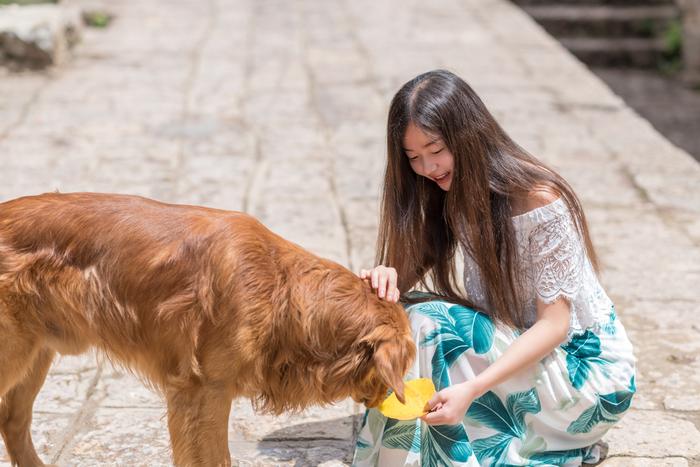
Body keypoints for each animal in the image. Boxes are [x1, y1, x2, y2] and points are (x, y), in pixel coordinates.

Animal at [0, 192, 416, 466]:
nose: (388, 402)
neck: (280, 288)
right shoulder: (203, 393)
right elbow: (214, 458)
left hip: (35, 355)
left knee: (14, 422)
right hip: (14, 355)